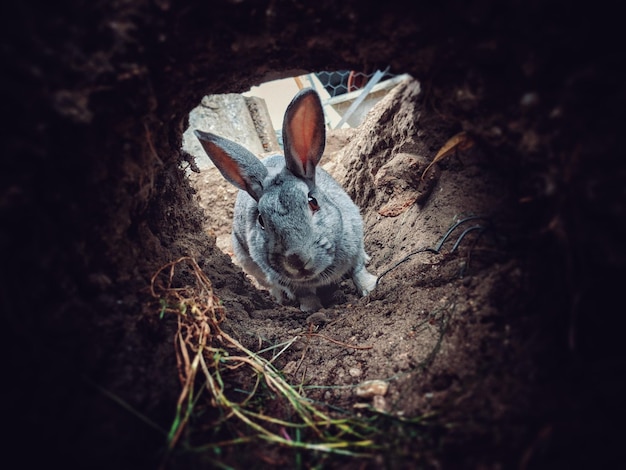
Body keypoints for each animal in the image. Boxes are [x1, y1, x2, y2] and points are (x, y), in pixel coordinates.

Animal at [194, 88, 376, 312]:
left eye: (313, 202)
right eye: (261, 220)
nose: (297, 260)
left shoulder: (354, 243)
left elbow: (358, 271)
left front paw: (370, 287)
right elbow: (304, 294)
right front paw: (311, 310)